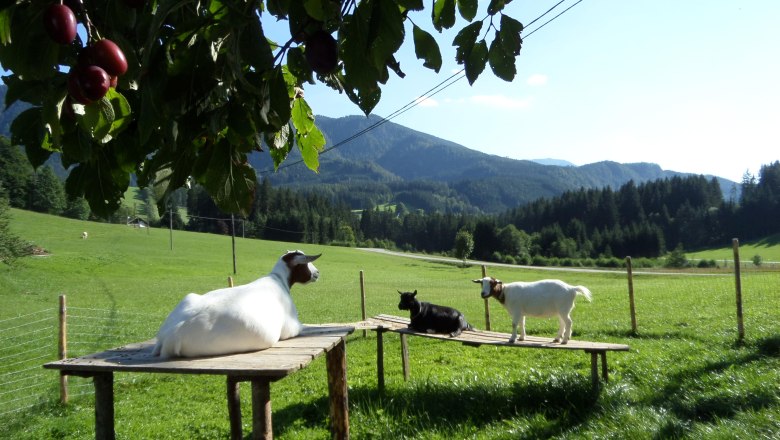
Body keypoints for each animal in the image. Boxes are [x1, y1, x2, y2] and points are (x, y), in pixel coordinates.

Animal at [152, 251, 320, 358]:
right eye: (306, 263)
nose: (317, 273)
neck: (278, 279)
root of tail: (170, 335)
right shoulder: (290, 327)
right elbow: (302, 326)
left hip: (189, 297)